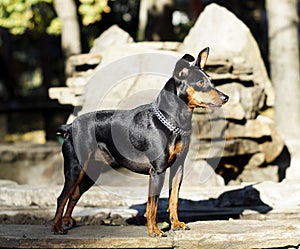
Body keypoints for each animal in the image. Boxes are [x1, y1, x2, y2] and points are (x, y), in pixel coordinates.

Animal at [52, 47, 229, 236]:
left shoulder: (177, 168)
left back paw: (68, 221)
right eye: (201, 82)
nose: (226, 97)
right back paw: (57, 227)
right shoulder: (157, 170)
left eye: (210, 80)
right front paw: (154, 231)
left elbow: (173, 199)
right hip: (75, 168)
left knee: (74, 194)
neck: (172, 121)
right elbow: (153, 205)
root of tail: (70, 126)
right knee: (62, 197)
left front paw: (176, 224)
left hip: (91, 171)